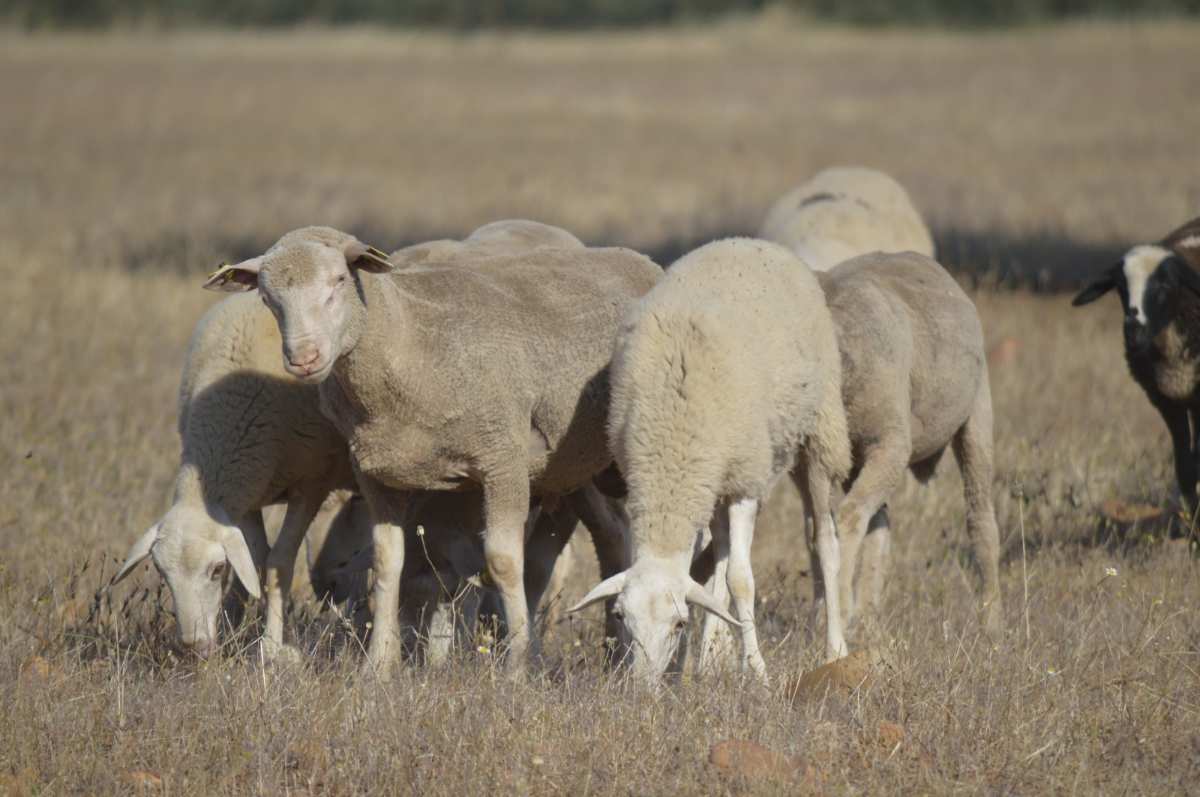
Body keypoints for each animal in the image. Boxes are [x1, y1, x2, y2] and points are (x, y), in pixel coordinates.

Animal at [203, 226, 660, 673]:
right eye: (267, 298)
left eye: (338, 280)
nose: (304, 358)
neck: (409, 339)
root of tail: (634, 257)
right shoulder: (376, 474)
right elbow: (387, 562)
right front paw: (378, 665)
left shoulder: (503, 460)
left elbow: (503, 563)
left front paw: (516, 668)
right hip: (574, 471)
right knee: (611, 538)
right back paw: (614, 652)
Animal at [570, 238, 853, 685]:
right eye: (620, 617)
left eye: (678, 623)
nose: (641, 691)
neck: (670, 450)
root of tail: (749, 242)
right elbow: (714, 571)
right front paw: (696, 664)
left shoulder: (745, 482)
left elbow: (741, 580)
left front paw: (757, 671)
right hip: (720, 475)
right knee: (719, 551)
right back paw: (710, 655)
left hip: (817, 431)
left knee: (824, 539)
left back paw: (835, 650)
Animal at [814, 251, 1003, 634]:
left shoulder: (888, 443)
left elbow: (846, 521)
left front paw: (837, 609)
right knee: (880, 520)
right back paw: (868, 614)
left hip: (969, 414)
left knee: (977, 518)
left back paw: (991, 619)